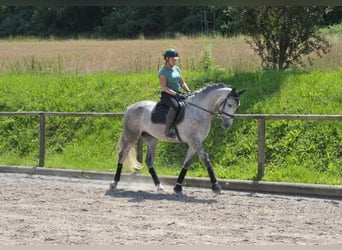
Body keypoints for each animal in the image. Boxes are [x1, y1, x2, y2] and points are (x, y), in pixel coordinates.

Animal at [111, 83, 244, 194]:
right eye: (229, 104)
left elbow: (187, 163)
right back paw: (114, 183)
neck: (199, 110)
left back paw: (159, 186)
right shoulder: (195, 140)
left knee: (149, 161)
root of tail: (130, 107)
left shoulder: (194, 143)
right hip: (131, 136)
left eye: (237, 106)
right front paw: (216, 186)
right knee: (122, 156)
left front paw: (178, 187)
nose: (227, 125)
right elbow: (206, 160)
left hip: (152, 139)